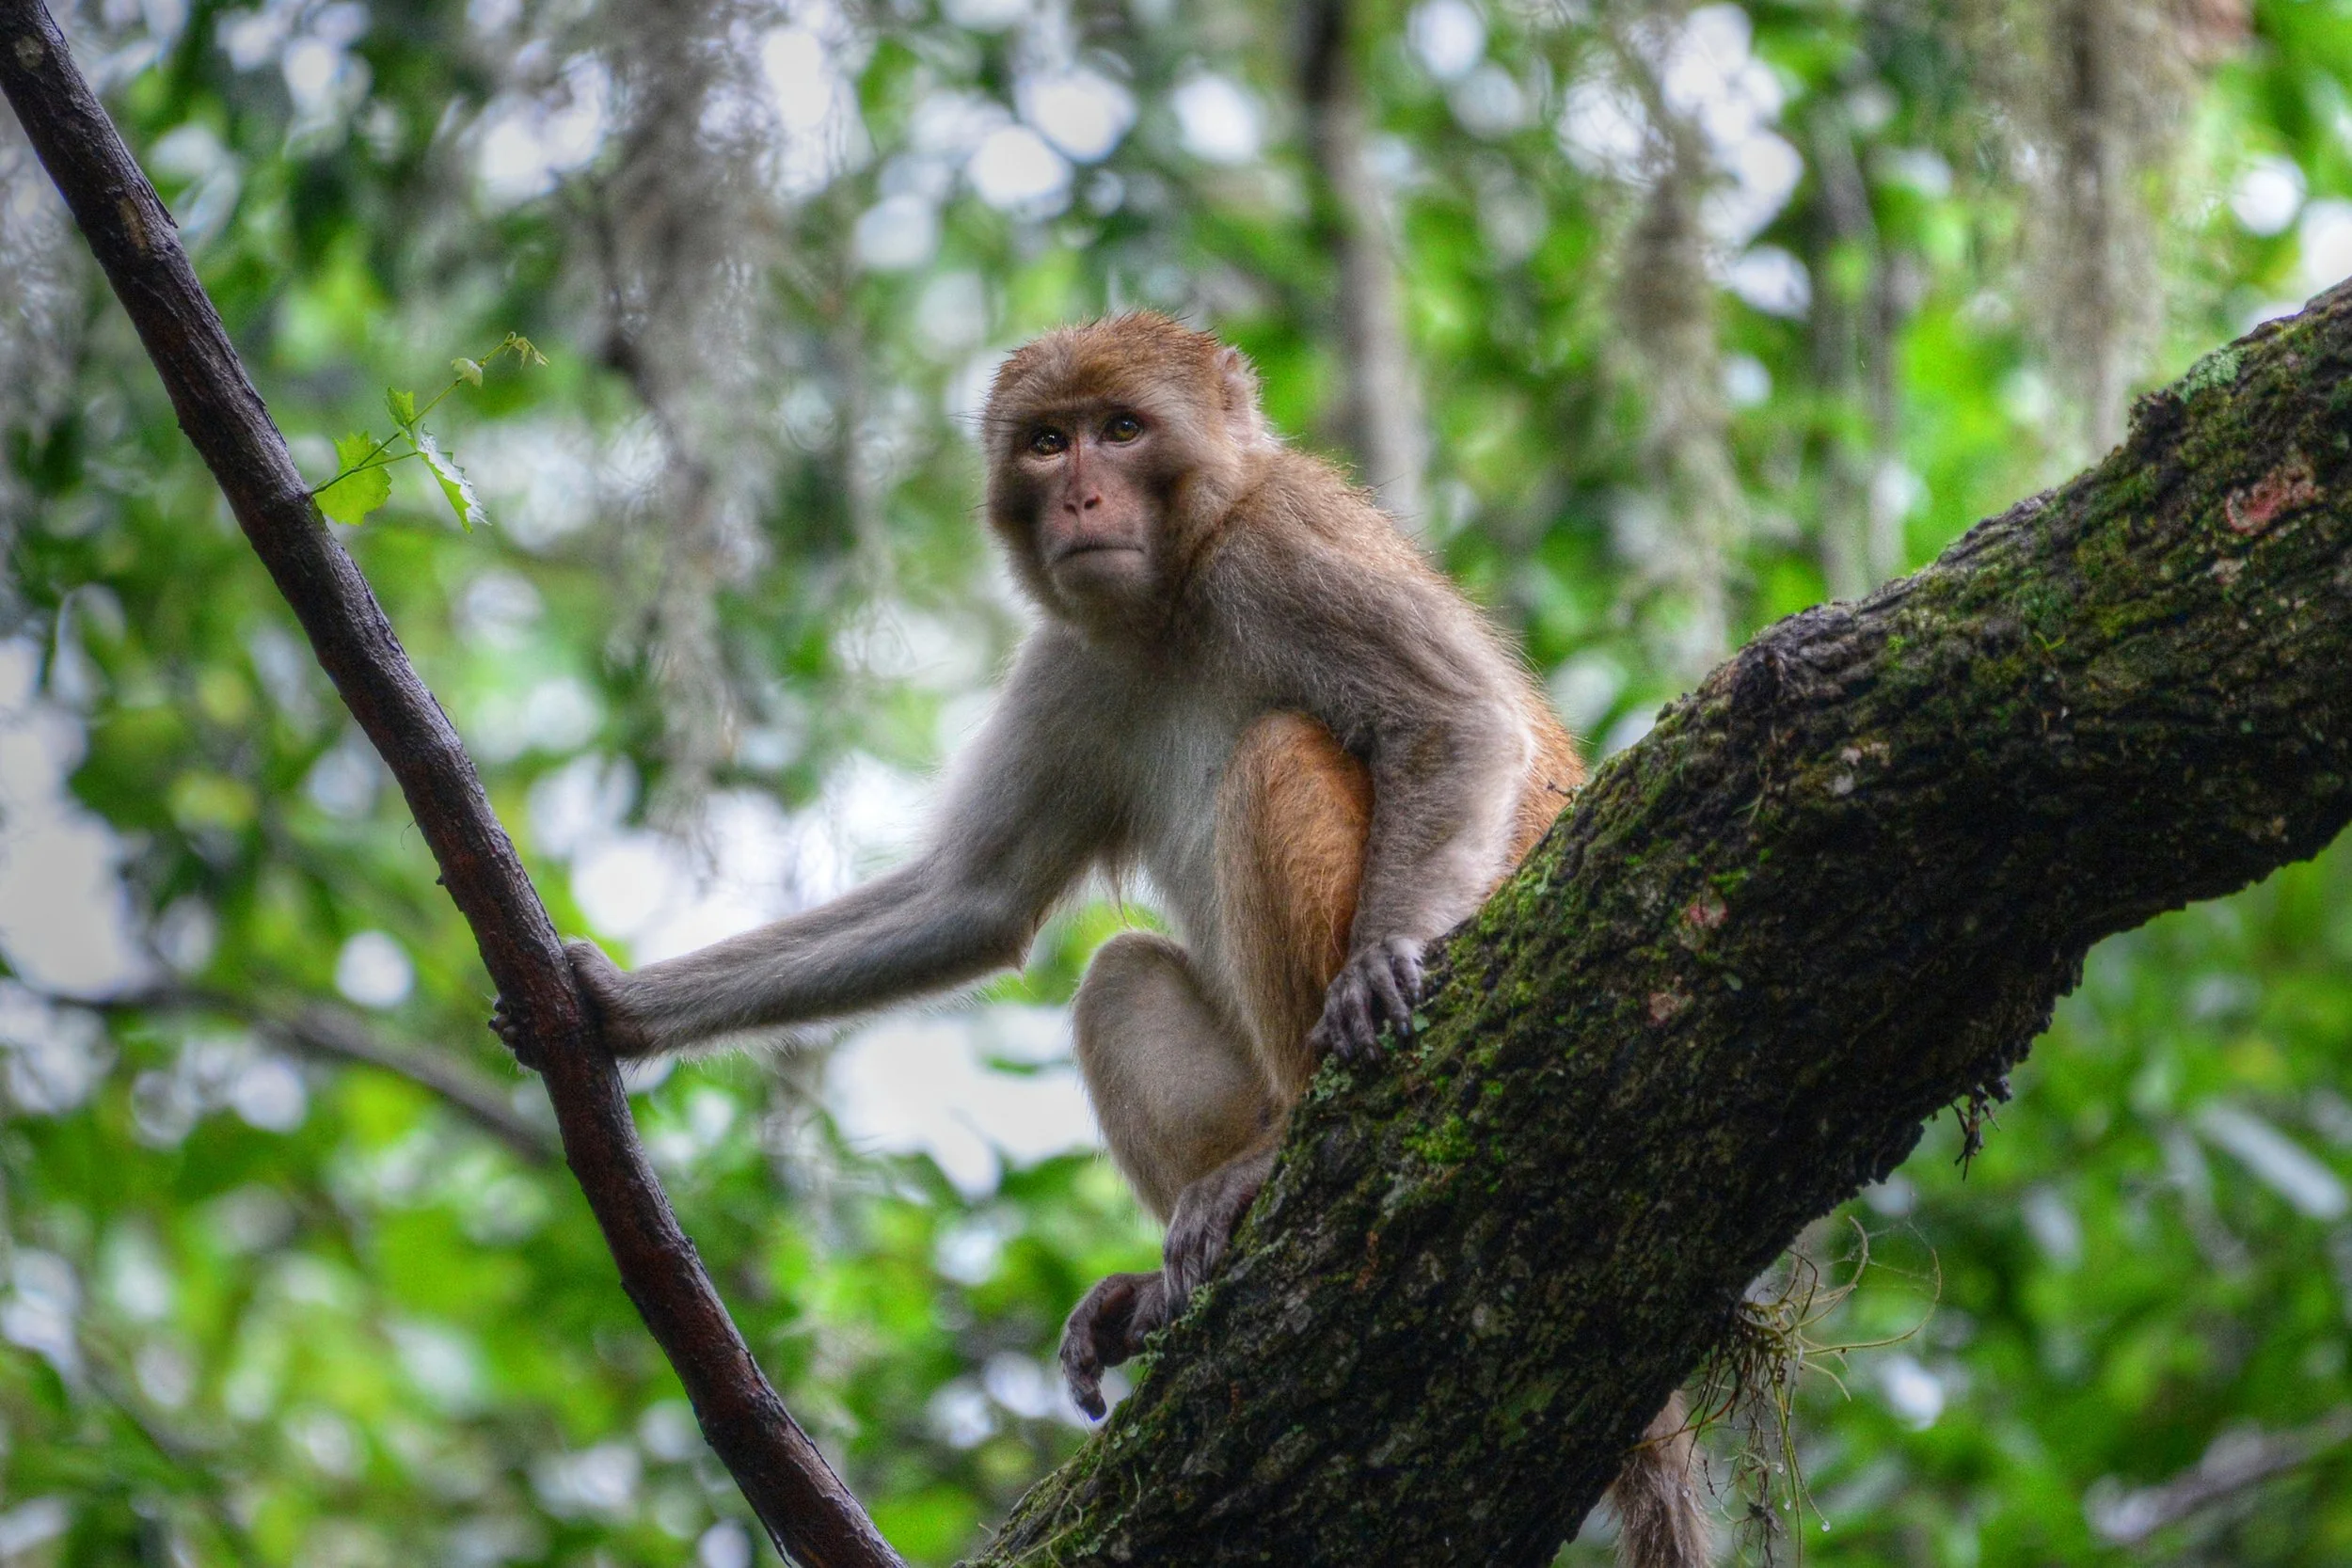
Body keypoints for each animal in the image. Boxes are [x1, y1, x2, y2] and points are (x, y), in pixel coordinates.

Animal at [498, 313, 1710, 1567]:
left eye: (1122, 430)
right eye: (1047, 442)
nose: (1079, 495)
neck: (1174, 593)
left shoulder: (1283, 556)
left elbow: (1456, 724)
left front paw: (1386, 959)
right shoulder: (1071, 662)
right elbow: (971, 900)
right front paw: (615, 1006)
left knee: (1279, 752)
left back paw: (1279, 1154)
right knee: (1119, 974)